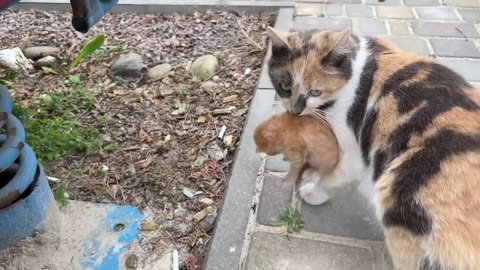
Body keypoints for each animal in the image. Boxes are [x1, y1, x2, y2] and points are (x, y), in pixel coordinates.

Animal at [266, 25, 480, 270]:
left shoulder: (353, 152)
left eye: (315, 92)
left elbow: (339, 175)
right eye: (284, 86)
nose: (295, 110)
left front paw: (313, 190)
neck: (357, 71)